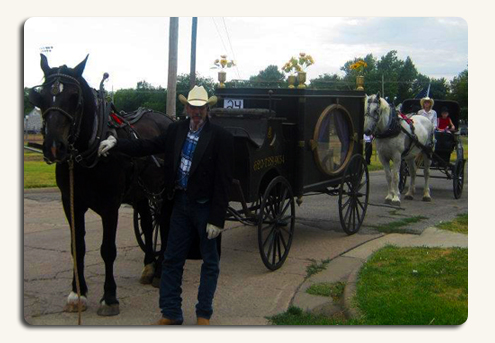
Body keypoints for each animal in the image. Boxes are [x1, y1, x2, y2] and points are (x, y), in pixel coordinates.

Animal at [29, 55, 173, 318]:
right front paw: (77, 294)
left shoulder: (110, 205)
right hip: (141, 193)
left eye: (74, 96)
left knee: (166, 224)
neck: (91, 148)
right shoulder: (71, 203)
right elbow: (77, 245)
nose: (54, 147)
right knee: (149, 224)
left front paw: (109, 297)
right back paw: (149, 265)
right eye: (41, 96)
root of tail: (169, 119)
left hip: (166, 192)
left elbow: (108, 249)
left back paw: (159, 271)